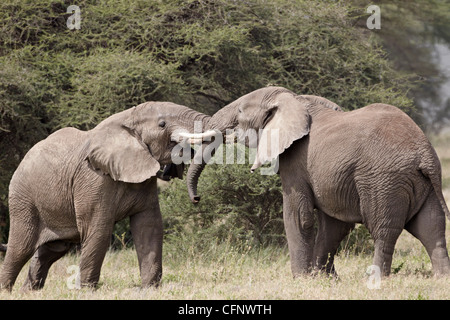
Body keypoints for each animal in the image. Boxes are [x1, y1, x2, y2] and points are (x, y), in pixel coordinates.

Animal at [0, 101, 214, 292]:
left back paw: (28, 292)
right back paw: (6, 291)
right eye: (162, 124)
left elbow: (149, 226)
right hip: (23, 198)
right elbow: (99, 230)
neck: (127, 119)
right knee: (21, 247)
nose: (196, 198)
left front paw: (150, 289)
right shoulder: (94, 179)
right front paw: (86, 291)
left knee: (51, 250)